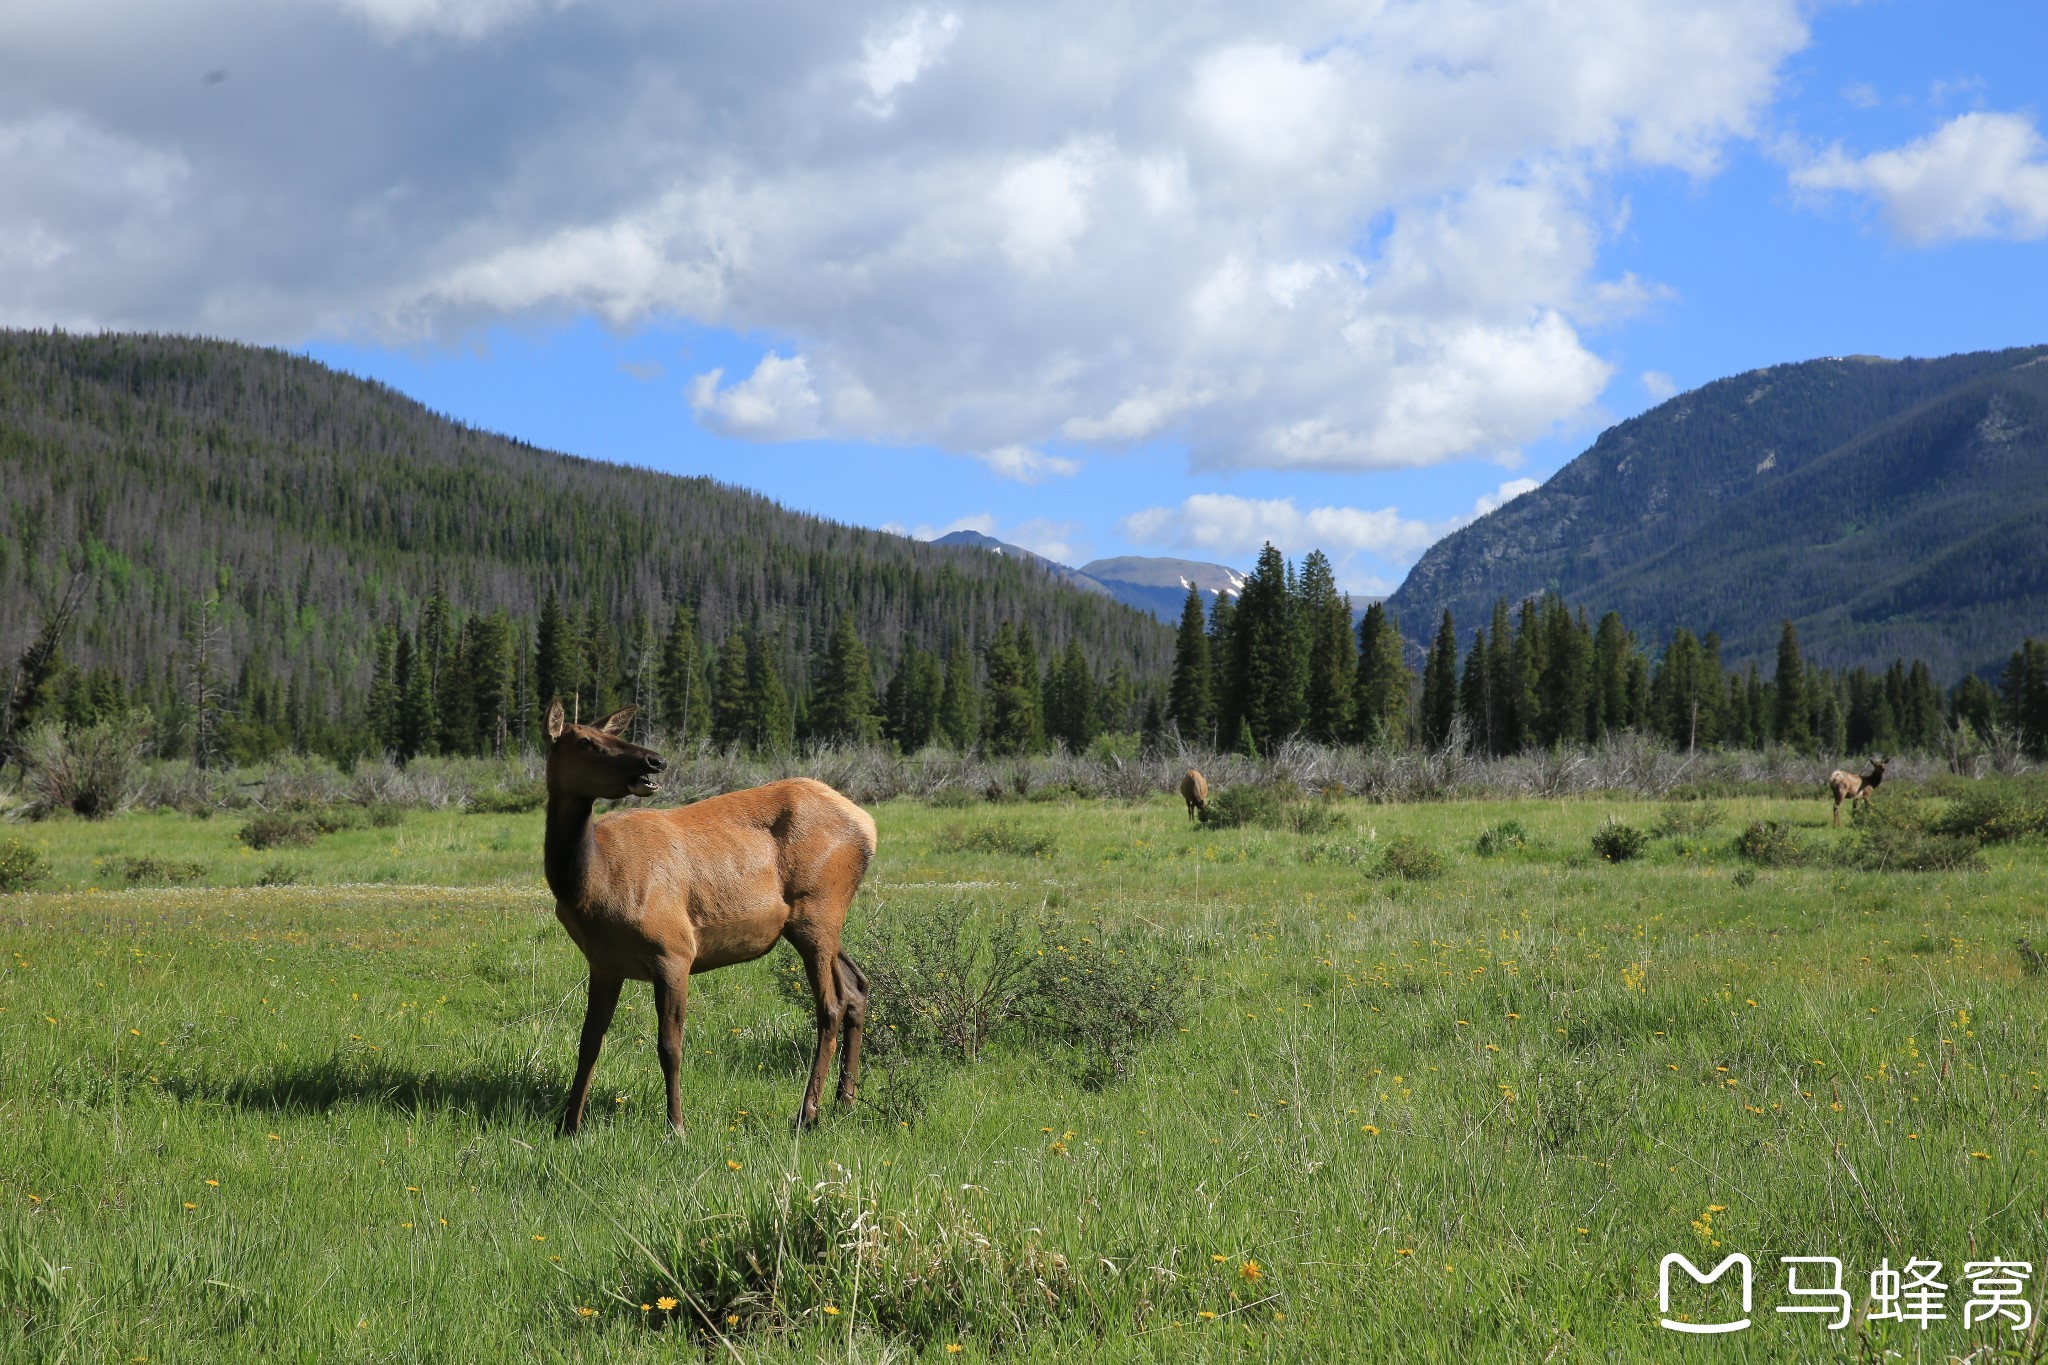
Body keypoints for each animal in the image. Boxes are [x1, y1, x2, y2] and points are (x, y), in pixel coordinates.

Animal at [540, 699, 876, 1137]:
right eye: (585, 740)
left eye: (608, 735)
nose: (654, 760)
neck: (589, 885)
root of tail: (869, 827)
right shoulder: (603, 963)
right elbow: (588, 1042)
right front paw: (569, 1126)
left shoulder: (674, 950)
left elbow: (669, 1046)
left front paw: (677, 1127)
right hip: (817, 923)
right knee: (857, 986)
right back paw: (845, 1101)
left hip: (817, 910)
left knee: (831, 1006)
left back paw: (808, 1113)